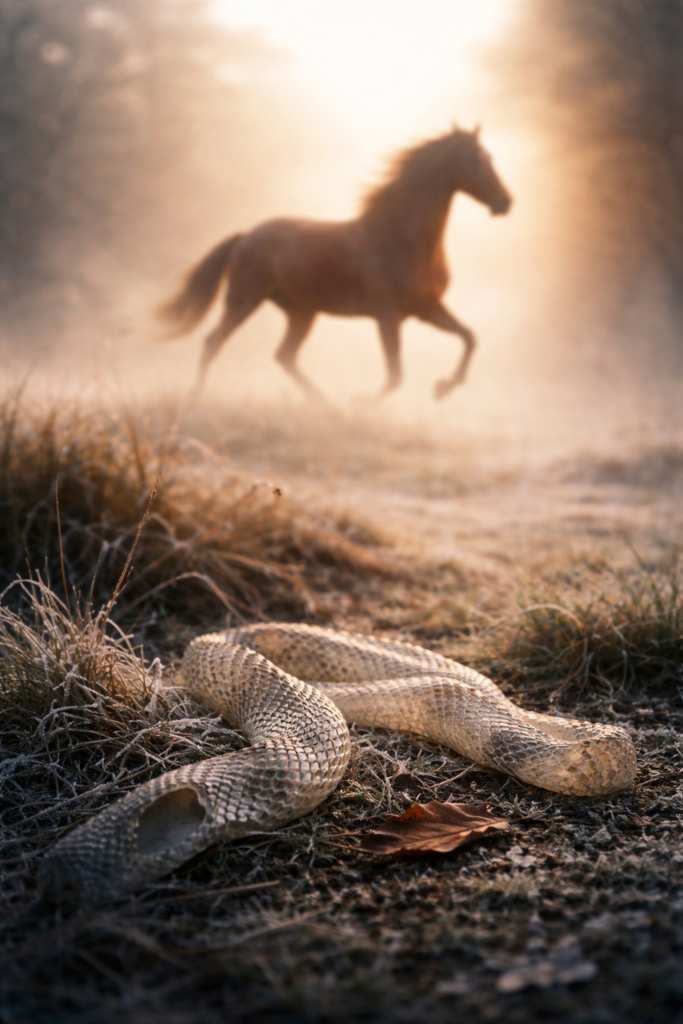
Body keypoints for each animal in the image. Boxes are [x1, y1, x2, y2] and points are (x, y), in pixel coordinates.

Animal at [157, 126, 512, 402]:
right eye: (475, 159)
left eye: (490, 158)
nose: (505, 202)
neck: (403, 239)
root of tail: (245, 236)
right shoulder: (388, 315)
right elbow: (395, 375)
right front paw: (360, 403)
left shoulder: (426, 308)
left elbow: (469, 337)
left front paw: (444, 388)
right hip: (244, 301)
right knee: (214, 342)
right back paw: (195, 398)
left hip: (301, 311)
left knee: (284, 356)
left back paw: (327, 407)